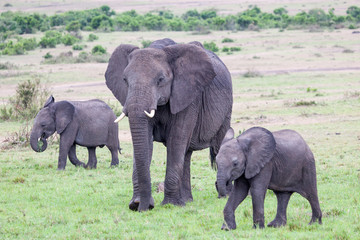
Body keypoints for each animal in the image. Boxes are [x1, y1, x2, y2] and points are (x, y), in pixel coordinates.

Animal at [105, 38, 232, 212]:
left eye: (160, 80)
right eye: (125, 80)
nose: (145, 208)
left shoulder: (188, 95)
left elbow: (176, 139)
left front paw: (170, 204)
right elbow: (146, 141)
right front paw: (137, 203)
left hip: (226, 110)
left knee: (218, 147)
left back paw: (224, 196)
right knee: (186, 153)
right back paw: (187, 201)